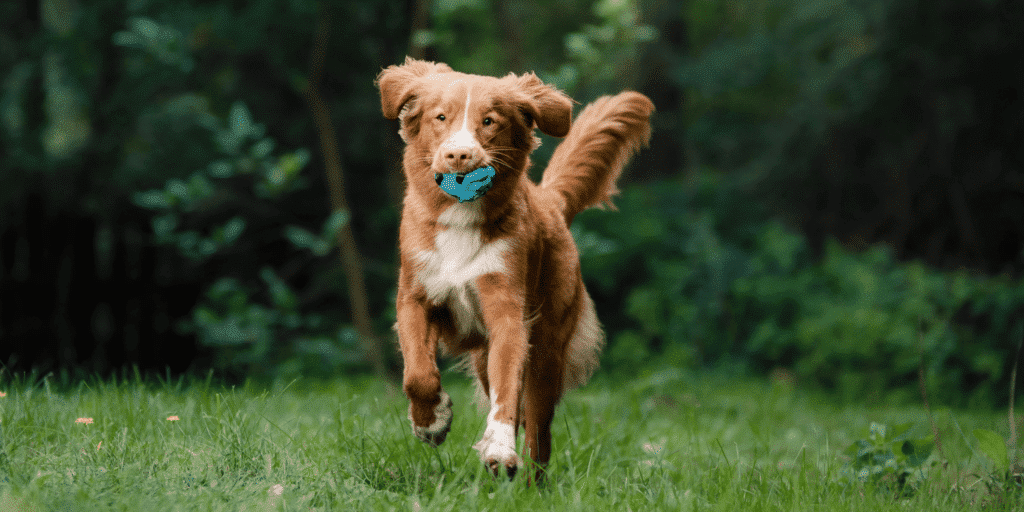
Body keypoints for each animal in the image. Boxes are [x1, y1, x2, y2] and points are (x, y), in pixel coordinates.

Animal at [378, 58, 655, 477]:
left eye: (489, 121)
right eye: (440, 117)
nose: (459, 156)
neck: (461, 220)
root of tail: (550, 200)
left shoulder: (509, 314)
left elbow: (507, 391)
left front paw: (498, 447)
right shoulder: (415, 298)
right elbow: (418, 375)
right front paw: (432, 421)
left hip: (547, 349)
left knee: (538, 430)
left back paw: (529, 481)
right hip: (482, 356)